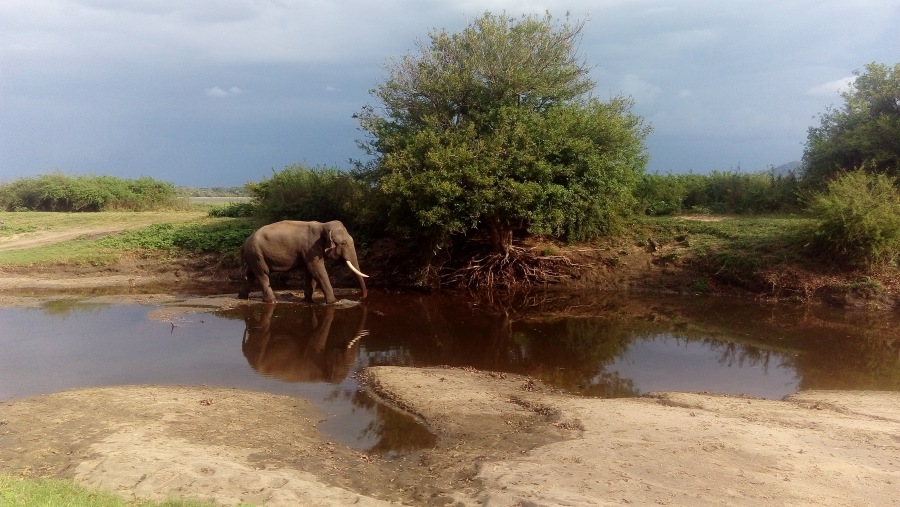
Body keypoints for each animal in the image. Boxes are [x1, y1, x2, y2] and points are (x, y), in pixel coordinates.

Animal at [239, 220, 370, 304]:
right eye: (343, 243)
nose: (360, 298)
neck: (323, 225)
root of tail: (245, 242)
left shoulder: (310, 251)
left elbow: (310, 272)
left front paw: (308, 301)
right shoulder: (310, 247)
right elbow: (317, 270)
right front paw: (334, 302)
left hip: (253, 256)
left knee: (250, 274)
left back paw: (242, 297)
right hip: (256, 254)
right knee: (263, 273)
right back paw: (272, 301)